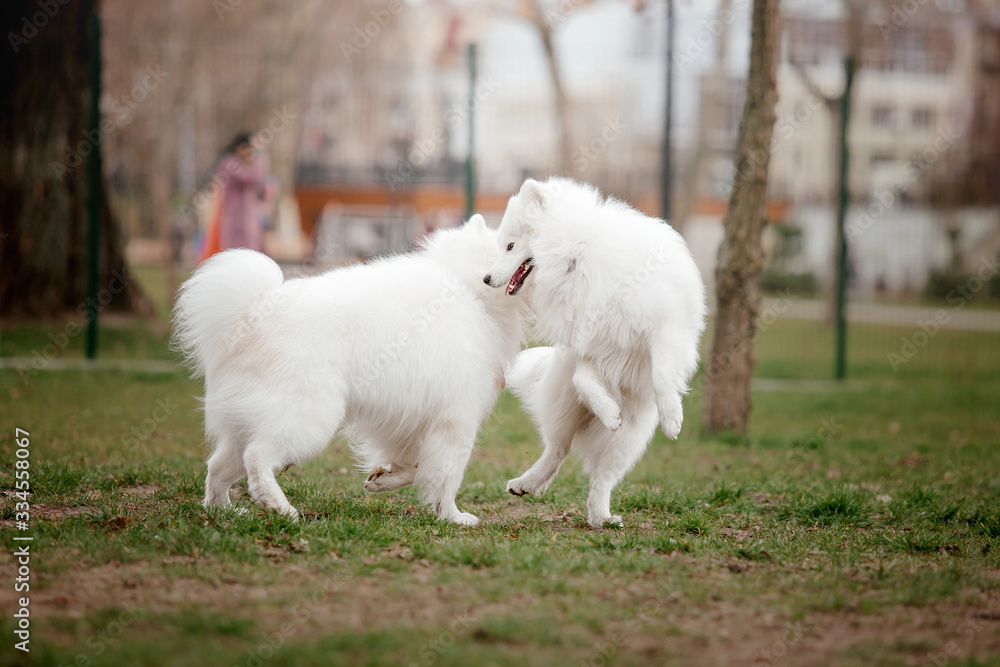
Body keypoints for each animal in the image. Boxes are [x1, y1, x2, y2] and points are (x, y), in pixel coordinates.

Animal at [482, 179, 704, 528]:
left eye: (510, 246)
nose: (486, 278)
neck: (575, 257)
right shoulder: (591, 346)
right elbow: (583, 379)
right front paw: (609, 412)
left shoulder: (664, 328)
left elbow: (661, 374)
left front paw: (671, 418)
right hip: (563, 412)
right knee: (558, 449)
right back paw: (528, 484)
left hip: (629, 439)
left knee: (601, 479)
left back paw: (601, 517)